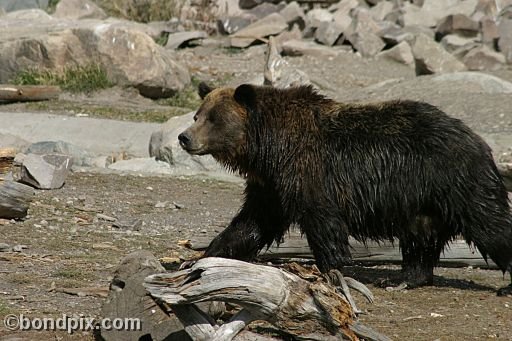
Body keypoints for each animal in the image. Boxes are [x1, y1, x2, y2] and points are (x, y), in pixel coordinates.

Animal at [178, 82, 512, 294]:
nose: (184, 137)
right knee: (420, 238)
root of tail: (478, 140)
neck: (268, 148)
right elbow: (251, 223)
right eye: (197, 114)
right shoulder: (272, 185)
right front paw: (200, 258)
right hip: (422, 201)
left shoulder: (309, 172)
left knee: (490, 224)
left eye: (213, 118)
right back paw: (404, 278)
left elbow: (323, 223)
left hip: (456, 181)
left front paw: (334, 270)